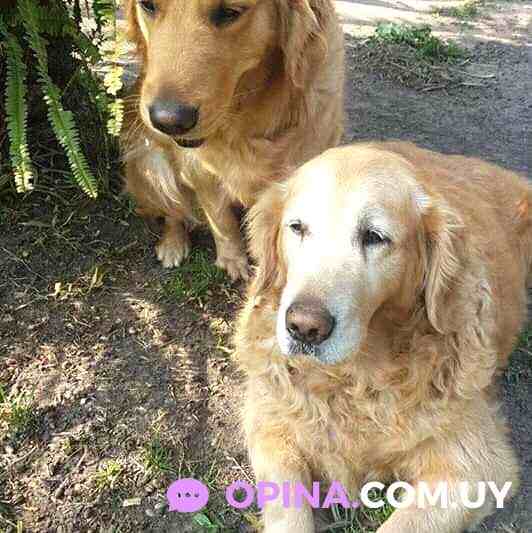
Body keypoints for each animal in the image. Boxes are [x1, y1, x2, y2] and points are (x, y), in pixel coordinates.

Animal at [122, 0, 344, 280]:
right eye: (147, 5)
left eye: (230, 12)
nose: (167, 121)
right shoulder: (198, 169)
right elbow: (221, 220)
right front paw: (233, 260)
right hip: (149, 161)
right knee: (174, 211)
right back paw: (172, 244)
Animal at [234, 141, 531, 532]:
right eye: (297, 228)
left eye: (374, 237)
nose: (304, 327)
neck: (354, 377)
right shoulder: (269, 424)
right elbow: (288, 512)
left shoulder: (478, 465)